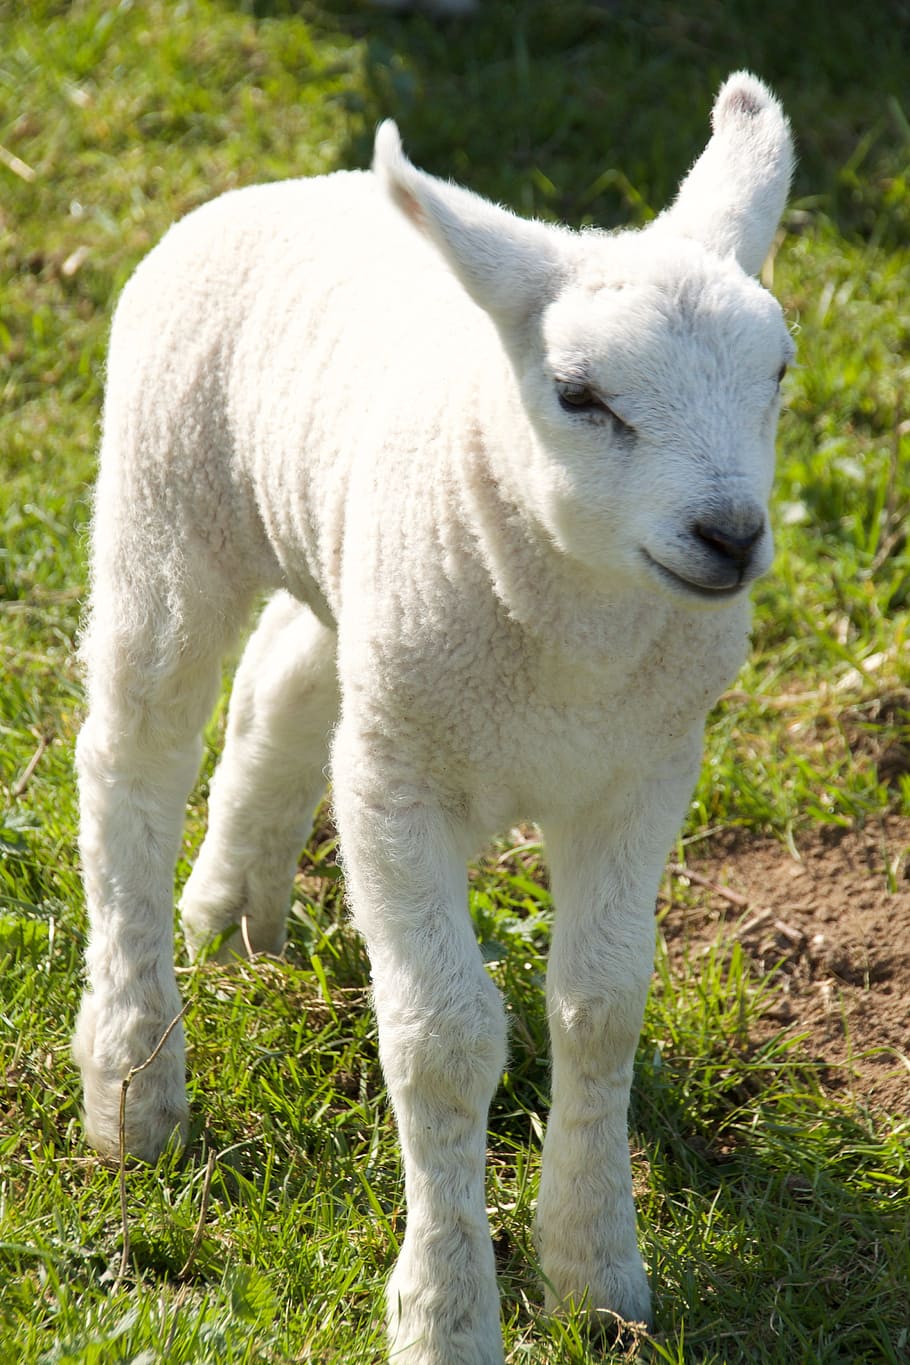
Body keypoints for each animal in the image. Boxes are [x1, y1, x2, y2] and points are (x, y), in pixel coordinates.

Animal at [73, 71, 794, 1364]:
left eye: (777, 376)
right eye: (579, 396)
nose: (729, 535)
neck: (576, 648)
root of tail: (284, 186)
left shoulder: (644, 771)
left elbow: (601, 1008)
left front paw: (595, 1269)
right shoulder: (394, 785)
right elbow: (444, 1041)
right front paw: (445, 1310)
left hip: (355, 580)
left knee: (282, 678)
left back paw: (233, 913)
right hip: (166, 504)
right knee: (130, 767)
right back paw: (132, 1078)